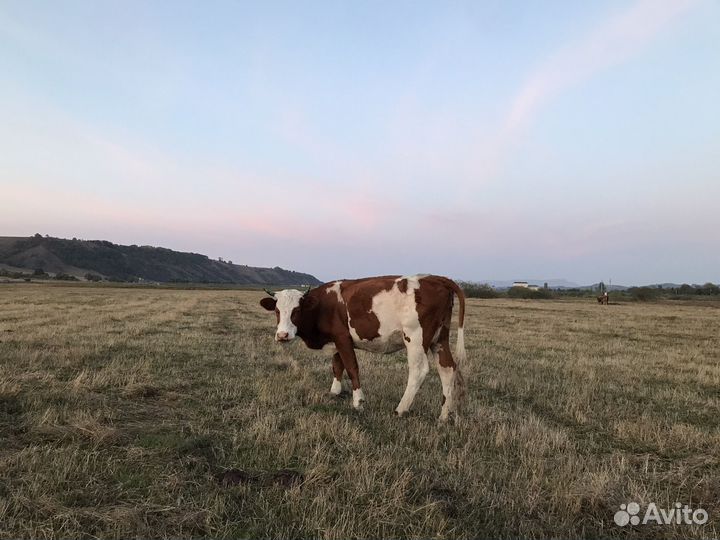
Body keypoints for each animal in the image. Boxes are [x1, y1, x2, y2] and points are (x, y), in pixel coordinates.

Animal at [260, 275, 466, 421]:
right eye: (277, 311)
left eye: (297, 310)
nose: (282, 335)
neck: (324, 304)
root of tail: (433, 278)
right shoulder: (337, 340)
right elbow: (337, 365)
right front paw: (334, 392)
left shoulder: (343, 338)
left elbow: (351, 367)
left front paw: (358, 402)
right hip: (440, 339)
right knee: (447, 368)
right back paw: (444, 416)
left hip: (415, 338)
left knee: (419, 370)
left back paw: (401, 409)